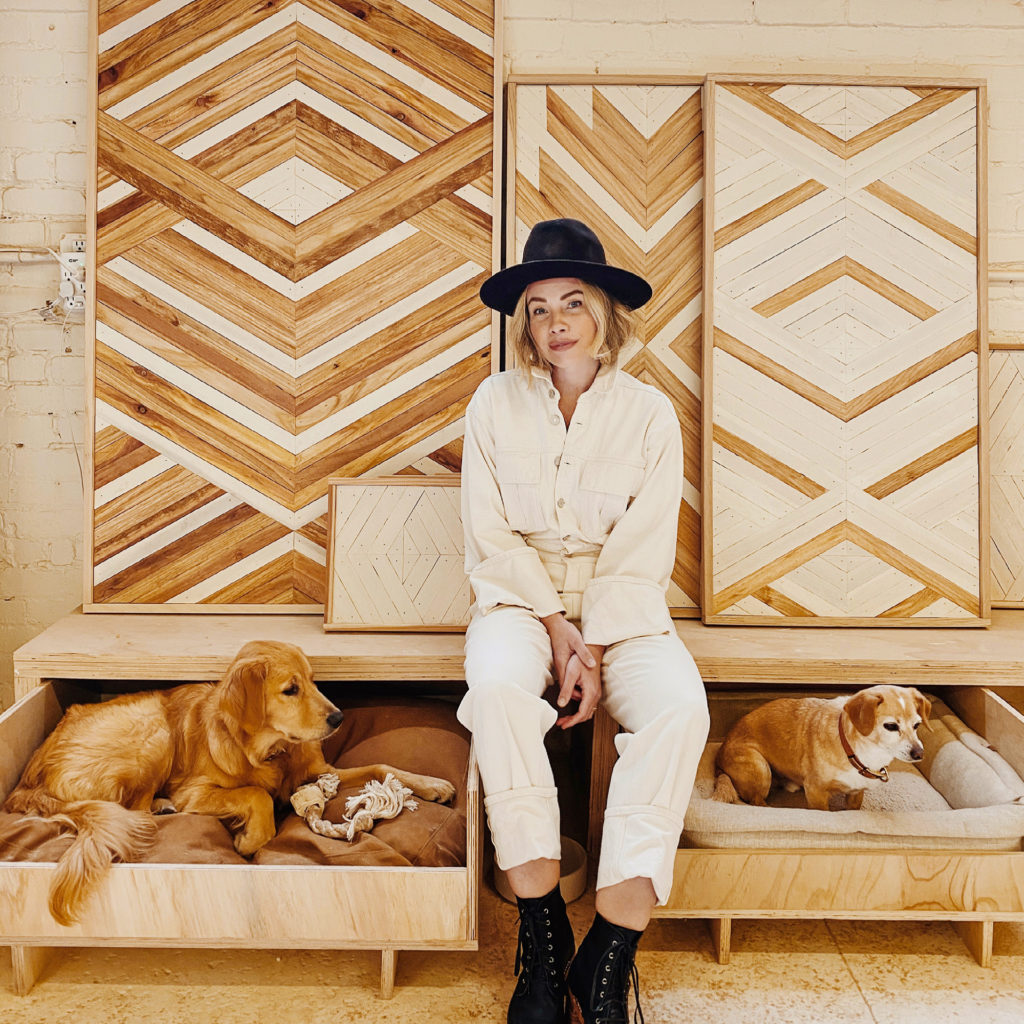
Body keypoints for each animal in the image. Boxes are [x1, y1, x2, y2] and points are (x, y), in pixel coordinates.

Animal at [7, 638, 456, 921]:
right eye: (290, 689)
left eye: (313, 680)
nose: (338, 717)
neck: (272, 750)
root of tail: (27, 780)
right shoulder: (196, 788)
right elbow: (257, 793)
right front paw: (250, 840)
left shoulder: (322, 770)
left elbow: (383, 767)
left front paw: (432, 784)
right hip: (154, 728)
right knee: (133, 807)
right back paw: (162, 806)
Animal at [716, 684, 933, 811]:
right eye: (891, 726)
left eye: (917, 725)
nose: (919, 753)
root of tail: (719, 756)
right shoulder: (816, 792)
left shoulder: (856, 793)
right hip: (760, 768)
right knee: (756, 801)